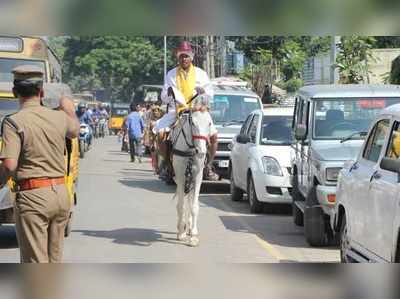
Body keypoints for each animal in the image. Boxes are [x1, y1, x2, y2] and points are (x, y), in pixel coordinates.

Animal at [172, 104, 216, 247]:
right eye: (193, 123)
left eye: (209, 123)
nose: (201, 151)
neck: (191, 149)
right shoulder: (180, 176)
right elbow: (181, 205)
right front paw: (181, 232)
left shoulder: (197, 176)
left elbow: (194, 206)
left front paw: (194, 236)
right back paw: (183, 226)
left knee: (190, 200)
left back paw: (190, 226)